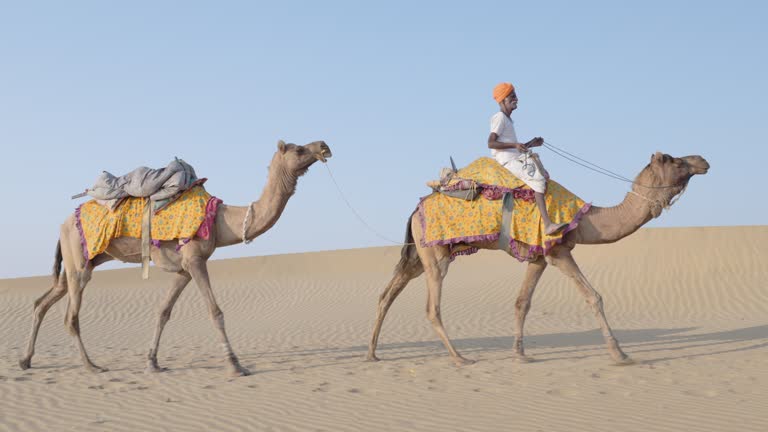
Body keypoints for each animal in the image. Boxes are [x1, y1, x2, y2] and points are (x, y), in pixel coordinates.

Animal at [20, 141, 330, 374]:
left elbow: (163, 311)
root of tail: (62, 224)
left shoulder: (184, 269)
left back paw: (26, 360)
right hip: (79, 260)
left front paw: (153, 362)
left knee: (43, 301)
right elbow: (215, 312)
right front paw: (236, 365)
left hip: (77, 261)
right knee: (71, 316)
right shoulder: (195, 260)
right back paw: (91, 366)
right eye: (299, 149)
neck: (220, 220)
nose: (323, 146)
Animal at [368, 154, 712, 366]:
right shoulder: (559, 252)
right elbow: (594, 296)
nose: (702, 160)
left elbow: (522, 302)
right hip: (436, 257)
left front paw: (520, 354)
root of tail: (417, 209)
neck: (586, 220)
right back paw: (460, 358)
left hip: (419, 254)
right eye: (674, 159)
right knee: (431, 307)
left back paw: (372, 354)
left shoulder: (538, 257)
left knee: (387, 293)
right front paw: (619, 353)